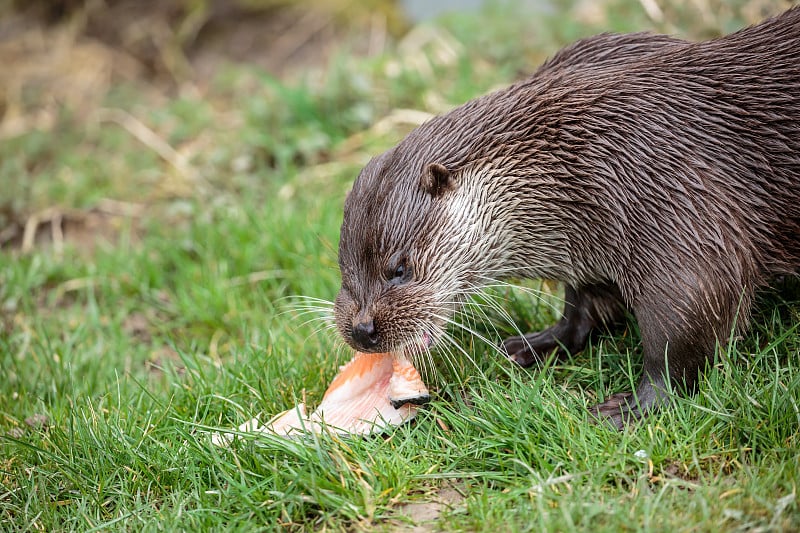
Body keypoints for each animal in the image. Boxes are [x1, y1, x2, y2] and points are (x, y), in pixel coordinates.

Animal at [332, 8, 800, 428]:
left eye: (399, 269)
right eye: (343, 268)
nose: (361, 329)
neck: (572, 164)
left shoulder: (670, 192)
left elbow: (690, 318)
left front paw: (637, 406)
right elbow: (585, 303)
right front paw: (538, 343)